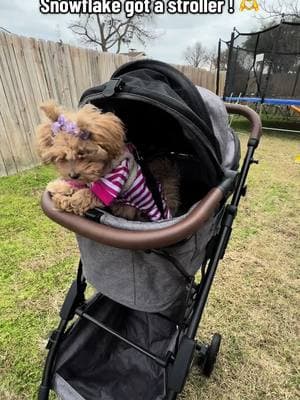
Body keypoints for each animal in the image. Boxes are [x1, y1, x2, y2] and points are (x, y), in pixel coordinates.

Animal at [36, 99, 179, 219]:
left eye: (83, 153)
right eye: (63, 158)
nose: (73, 175)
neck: (102, 169)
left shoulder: (112, 183)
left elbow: (86, 194)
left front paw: (64, 200)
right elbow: (80, 185)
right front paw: (58, 186)